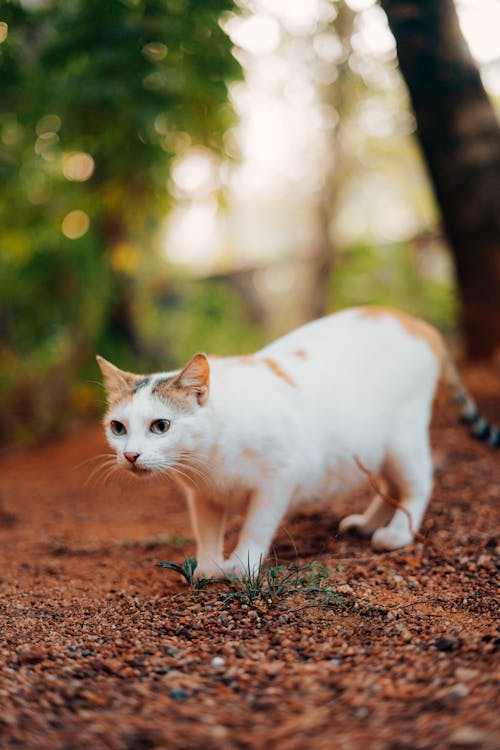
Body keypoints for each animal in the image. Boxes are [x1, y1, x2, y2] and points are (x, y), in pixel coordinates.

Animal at [96, 306, 496, 580]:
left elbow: (256, 525)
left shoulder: (278, 478)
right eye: (118, 427)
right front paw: (209, 567)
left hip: (402, 440)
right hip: (375, 449)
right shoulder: (202, 496)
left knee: (418, 484)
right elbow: (206, 532)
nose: (130, 455)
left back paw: (396, 532)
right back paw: (367, 523)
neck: (208, 458)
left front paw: (241, 565)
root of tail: (412, 320)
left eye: (160, 426)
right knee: (389, 486)